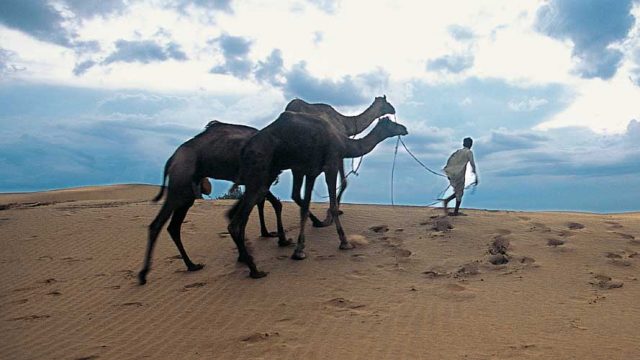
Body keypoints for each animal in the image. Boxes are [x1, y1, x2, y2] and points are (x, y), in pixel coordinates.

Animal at [139, 121, 290, 284]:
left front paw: (249, 250)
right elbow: (274, 204)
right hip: (180, 184)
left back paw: (191, 265)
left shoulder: (255, 181)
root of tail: (172, 158)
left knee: (173, 226)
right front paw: (281, 240)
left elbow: (243, 211)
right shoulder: (261, 179)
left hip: (187, 193)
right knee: (158, 224)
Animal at [226, 113, 404, 278]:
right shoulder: (331, 165)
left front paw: (299, 250)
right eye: (392, 123)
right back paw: (255, 270)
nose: (404, 129)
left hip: (266, 173)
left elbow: (304, 207)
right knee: (239, 220)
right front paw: (344, 242)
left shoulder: (310, 171)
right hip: (260, 171)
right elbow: (331, 205)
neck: (344, 144)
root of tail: (245, 149)